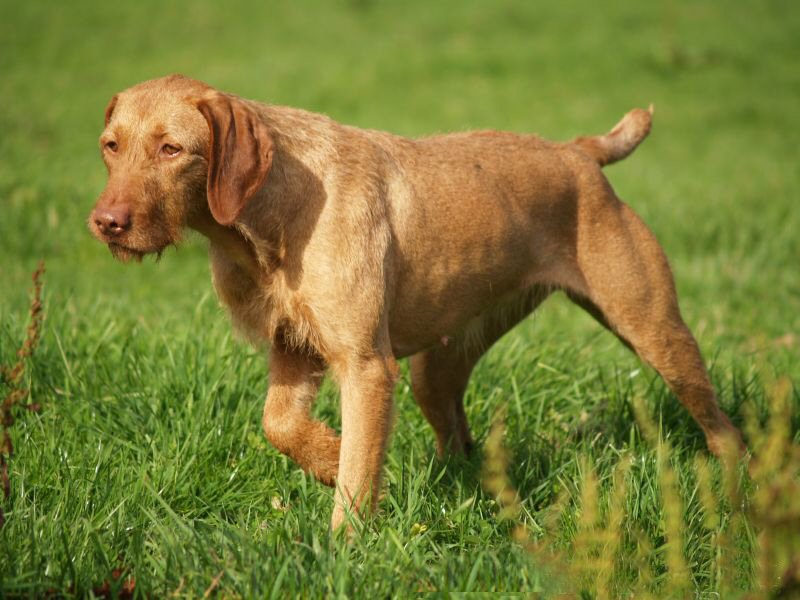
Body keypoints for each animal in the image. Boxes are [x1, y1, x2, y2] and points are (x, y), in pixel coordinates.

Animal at [87, 74, 744, 528]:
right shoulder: (294, 349)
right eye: (111, 146)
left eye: (172, 149)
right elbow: (280, 426)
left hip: (655, 330)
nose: (106, 223)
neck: (272, 213)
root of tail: (579, 152)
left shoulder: (367, 367)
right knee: (457, 434)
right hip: (438, 365)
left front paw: (344, 543)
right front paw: (328, 456)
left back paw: (738, 495)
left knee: (723, 428)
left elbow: (356, 474)